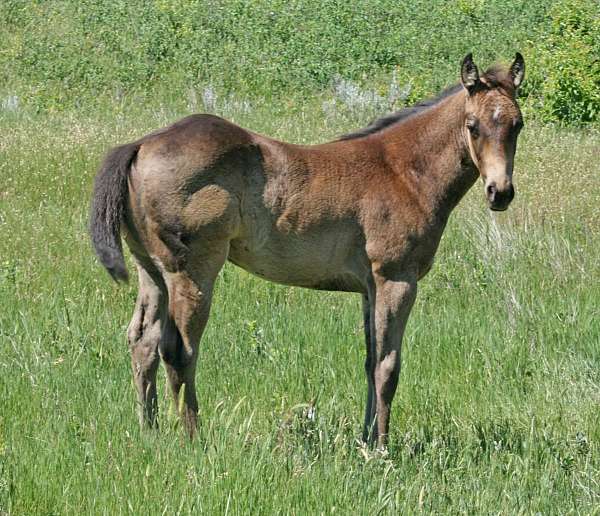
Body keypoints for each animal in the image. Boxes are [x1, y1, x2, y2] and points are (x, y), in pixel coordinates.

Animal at [89, 53, 524, 448]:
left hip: (152, 270)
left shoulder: (368, 288)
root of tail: (140, 144)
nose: (500, 192)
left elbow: (369, 362)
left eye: (517, 124)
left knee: (142, 341)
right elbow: (388, 367)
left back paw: (150, 432)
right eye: (472, 126)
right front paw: (382, 450)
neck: (404, 171)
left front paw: (365, 441)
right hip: (193, 270)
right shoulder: (395, 279)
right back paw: (195, 439)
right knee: (178, 349)